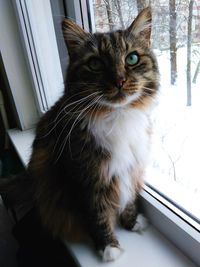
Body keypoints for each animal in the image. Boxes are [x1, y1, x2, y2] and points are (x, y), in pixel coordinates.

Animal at [0, 6, 159, 264]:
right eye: (95, 63)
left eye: (132, 59)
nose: (119, 81)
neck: (118, 117)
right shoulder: (84, 179)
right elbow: (97, 216)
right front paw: (108, 247)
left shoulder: (129, 168)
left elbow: (128, 200)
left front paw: (132, 222)